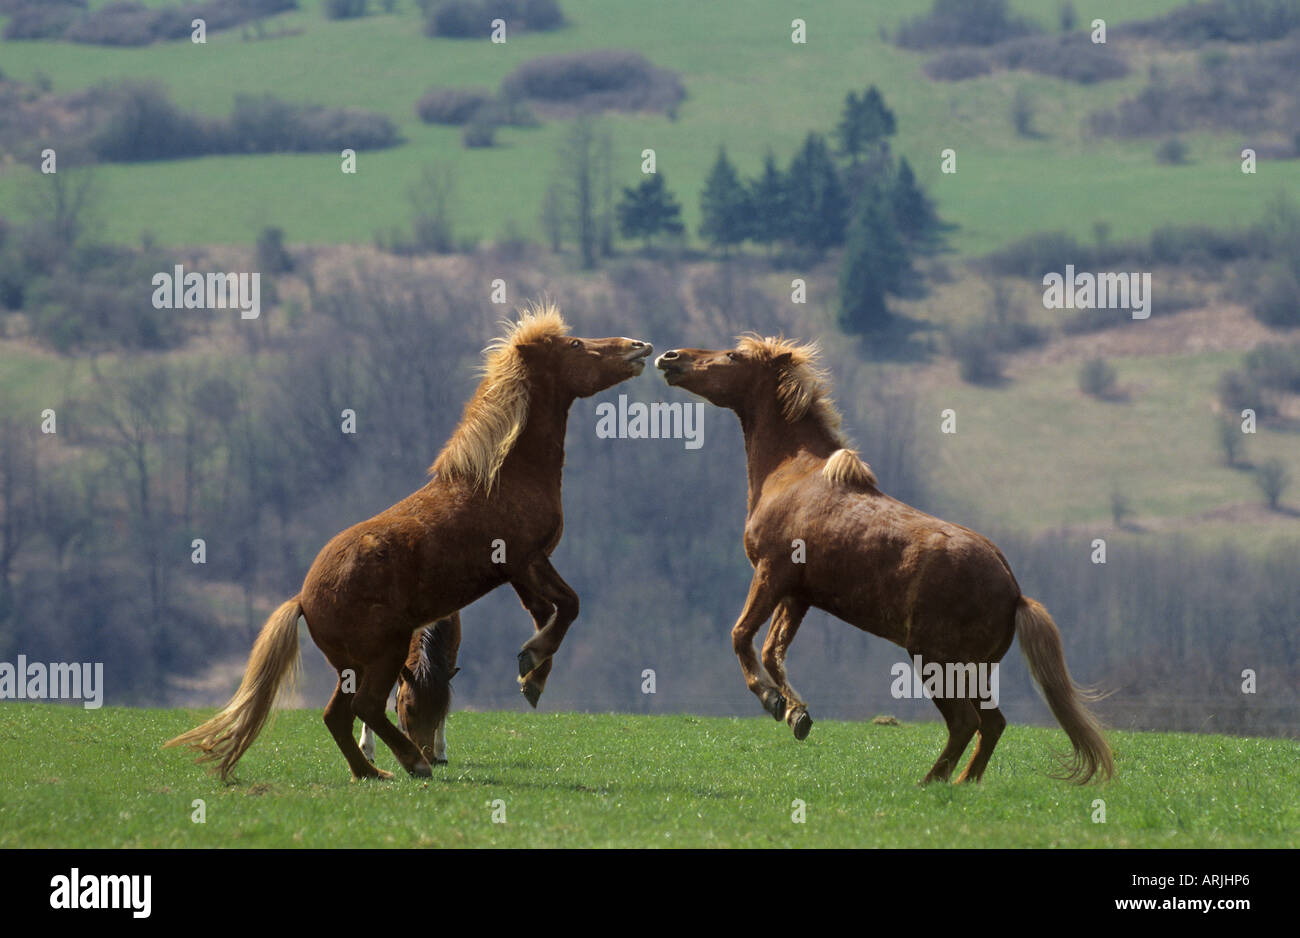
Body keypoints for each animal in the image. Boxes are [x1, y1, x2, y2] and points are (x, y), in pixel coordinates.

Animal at [655, 336, 1112, 784]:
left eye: (733, 355)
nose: (670, 357)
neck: (792, 475)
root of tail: (1015, 592)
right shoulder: (799, 595)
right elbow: (772, 650)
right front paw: (796, 714)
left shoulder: (771, 574)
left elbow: (741, 635)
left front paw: (772, 701)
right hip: (974, 670)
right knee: (992, 723)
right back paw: (964, 783)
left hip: (936, 660)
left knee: (965, 722)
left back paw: (931, 783)